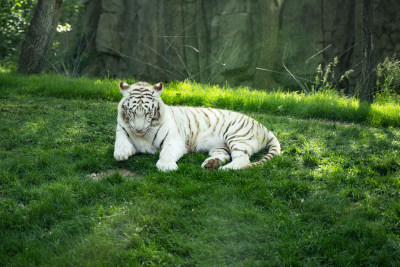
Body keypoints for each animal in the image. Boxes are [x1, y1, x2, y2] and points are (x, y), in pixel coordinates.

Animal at [113, 81, 282, 173]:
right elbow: (120, 143)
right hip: (220, 146)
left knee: (242, 159)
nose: (139, 129)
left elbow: (167, 152)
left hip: (237, 137)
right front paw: (121, 153)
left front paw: (166, 166)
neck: (143, 134)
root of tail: (263, 126)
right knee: (225, 155)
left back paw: (225, 169)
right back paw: (210, 164)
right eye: (132, 112)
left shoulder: (174, 140)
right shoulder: (121, 129)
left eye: (148, 113)